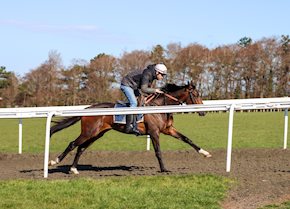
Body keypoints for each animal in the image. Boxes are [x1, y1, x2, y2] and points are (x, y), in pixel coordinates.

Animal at [48, 81, 212, 175]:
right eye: (196, 94)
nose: (203, 112)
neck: (159, 107)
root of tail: (88, 108)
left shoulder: (168, 130)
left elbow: (187, 139)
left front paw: (205, 153)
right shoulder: (154, 132)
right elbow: (158, 151)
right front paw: (164, 169)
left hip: (97, 133)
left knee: (81, 148)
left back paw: (73, 169)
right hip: (89, 131)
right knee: (73, 144)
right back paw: (54, 162)